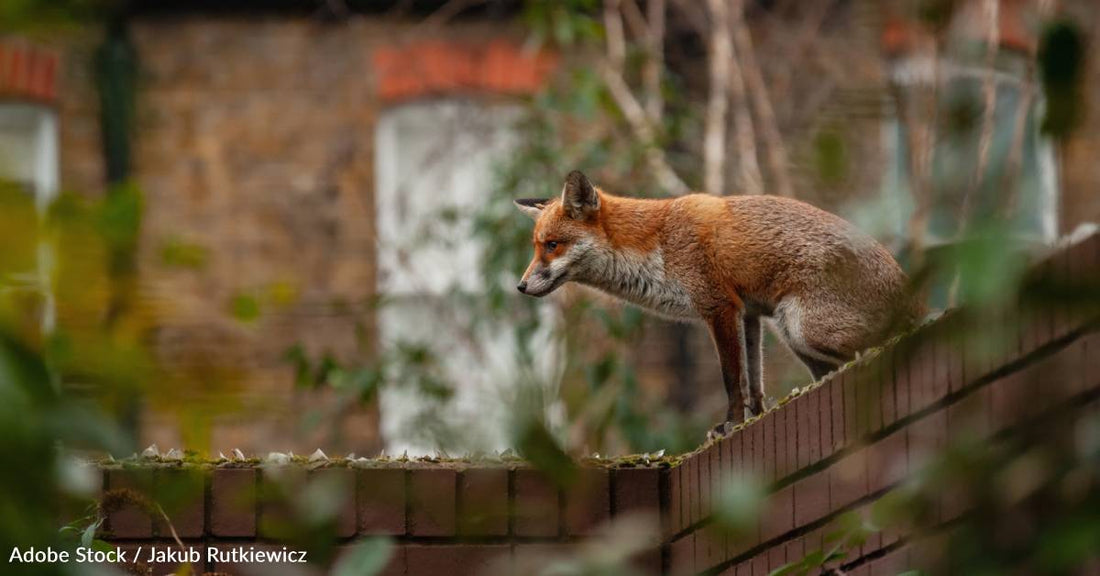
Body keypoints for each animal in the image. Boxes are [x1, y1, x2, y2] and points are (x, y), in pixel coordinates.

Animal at [515, 170, 921, 431]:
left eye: (552, 245)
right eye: (536, 247)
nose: (520, 286)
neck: (658, 244)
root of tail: (911, 292)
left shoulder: (719, 306)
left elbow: (731, 378)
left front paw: (731, 424)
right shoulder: (750, 313)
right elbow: (753, 380)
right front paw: (756, 417)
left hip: (800, 327)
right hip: (793, 334)